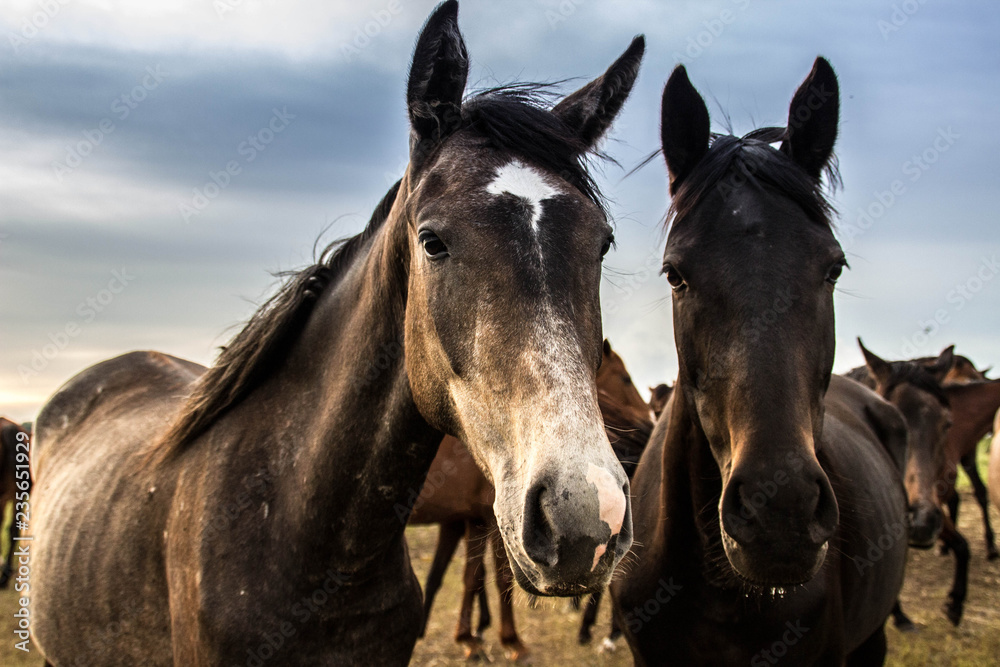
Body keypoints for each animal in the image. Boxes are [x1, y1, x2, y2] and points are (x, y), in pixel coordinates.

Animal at [410, 339, 653, 660]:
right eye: (625, 379)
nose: (647, 419)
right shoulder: (489, 521)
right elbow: (497, 578)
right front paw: (508, 640)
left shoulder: (471, 520)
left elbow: (469, 576)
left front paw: (468, 636)